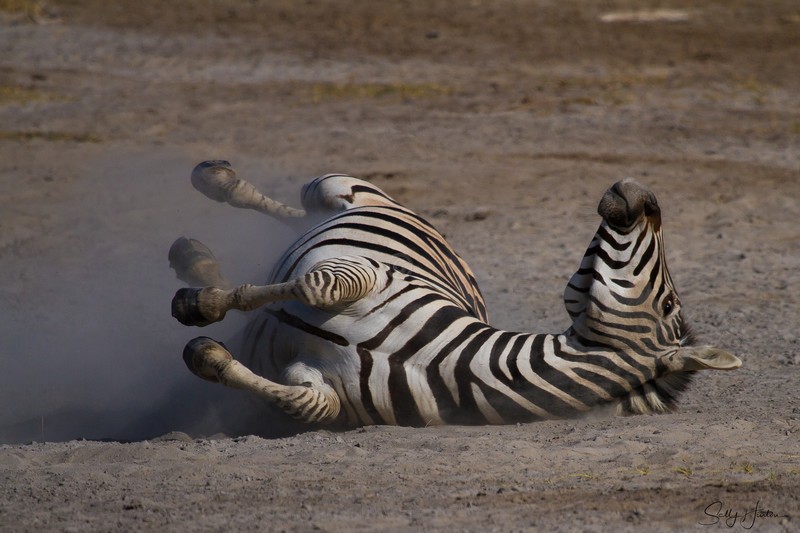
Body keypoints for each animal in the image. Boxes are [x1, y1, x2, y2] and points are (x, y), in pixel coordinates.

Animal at [169, 160, 740, 427]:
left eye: (668, 304)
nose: (647, 195)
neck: (441, 363)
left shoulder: (322, 392)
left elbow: (304, 402)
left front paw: (203, 340)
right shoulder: (366, 273)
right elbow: (313, 284)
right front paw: (201, 305)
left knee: (292, 227)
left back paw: (195, 259)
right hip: (341, 190)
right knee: (291, 210)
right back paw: (211, 191)